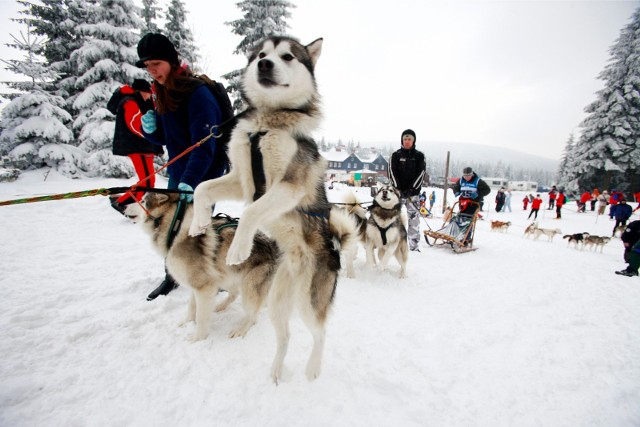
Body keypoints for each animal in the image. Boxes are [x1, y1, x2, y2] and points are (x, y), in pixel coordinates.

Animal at [124, 195, 276, 344]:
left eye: (143, 200)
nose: (124, 206)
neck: (175, 227)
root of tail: (273, 245)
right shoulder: (197, 284)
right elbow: (192, 307)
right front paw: (187, 322)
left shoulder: (204, 287)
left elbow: (202, 317)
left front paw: (198, 338)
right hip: (225, 276)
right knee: (235, 294)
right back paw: (220, 306)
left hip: (249, 288)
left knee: (252, 316)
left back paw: (240, 329)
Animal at [188, 37, 358, 384]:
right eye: (261, 55)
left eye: (288, 56)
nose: (265, 65)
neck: (266, 126)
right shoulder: (241, 179)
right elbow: (203, 188)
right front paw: (198, 223)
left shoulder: (289, 186)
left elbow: (252, 212)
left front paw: (238, 249)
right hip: (280, 298)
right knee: (286, 336)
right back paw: (277, 370)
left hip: (309, 300)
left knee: (320, 333)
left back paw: (312, 368)